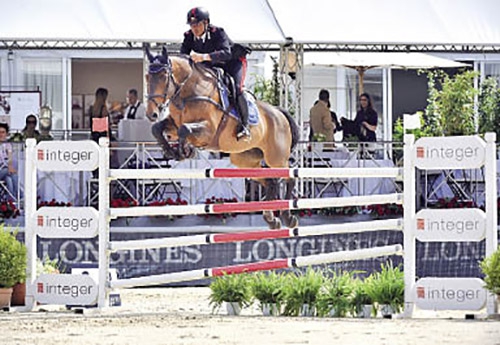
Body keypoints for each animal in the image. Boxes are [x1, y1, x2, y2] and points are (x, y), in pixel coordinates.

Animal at [146, 45, 298, 228]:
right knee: (271, 181)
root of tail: (279, 112)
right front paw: (173, 152)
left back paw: (287, 217)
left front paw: (184, 152)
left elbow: (184, 129)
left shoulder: (209, 130)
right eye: (147, 77)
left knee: (289, 177)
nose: (152, 114)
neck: (188, 92)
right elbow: (157, 128)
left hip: (276, 158)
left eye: (163, 76)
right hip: (245, 161)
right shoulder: (173, 126)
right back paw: (271, 218)